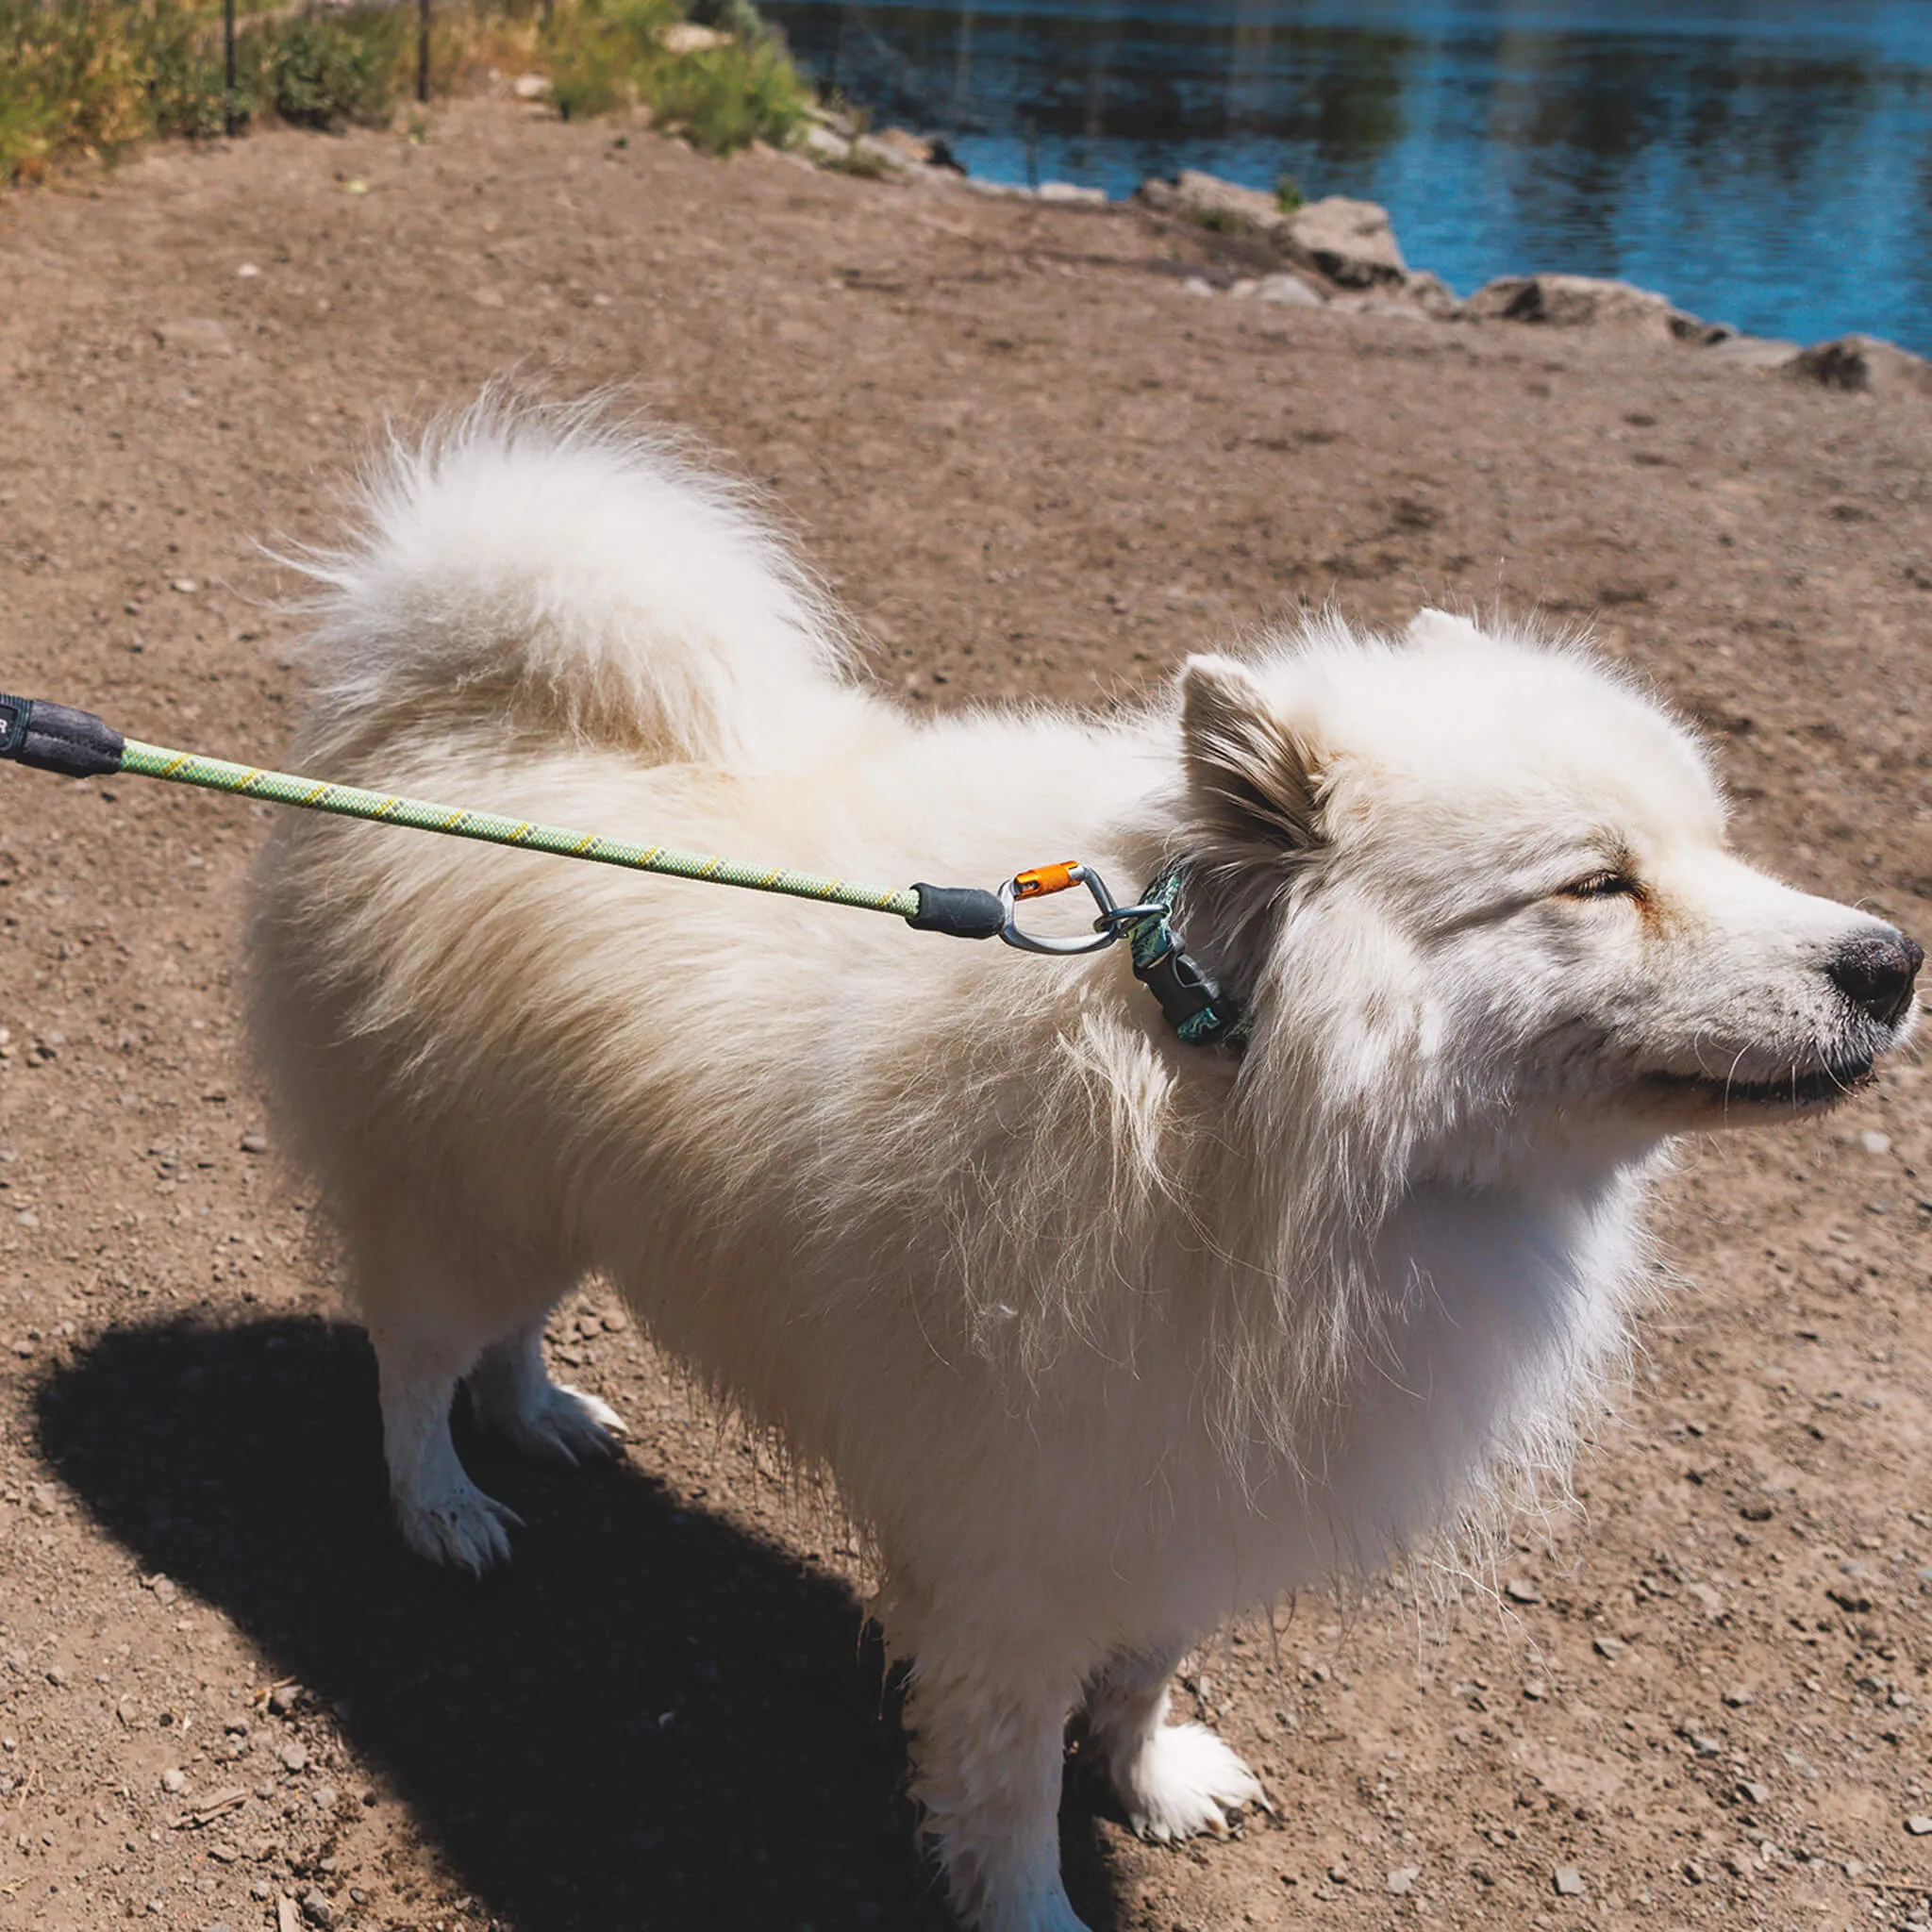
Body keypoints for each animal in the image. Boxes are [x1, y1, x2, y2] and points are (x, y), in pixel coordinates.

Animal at [253, 399, 1916, 1924]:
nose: (1893, 963)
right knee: (412, 1360)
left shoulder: (1173, 1491)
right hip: (464, 1200)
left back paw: (542, 1417)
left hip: (548, 1190)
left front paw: (1150, 1780)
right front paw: (1037, 1901)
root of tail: (445, 706)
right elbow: (1003, 1791)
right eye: (1595, 884)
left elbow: (1146, 1671)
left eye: (1712, 844)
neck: (1224, 1093)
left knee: (501, 1338)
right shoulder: (1021, 1553)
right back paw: (444, 1506)